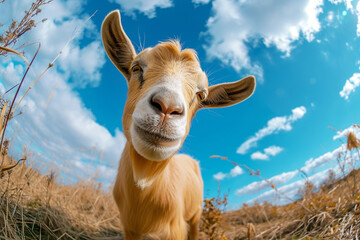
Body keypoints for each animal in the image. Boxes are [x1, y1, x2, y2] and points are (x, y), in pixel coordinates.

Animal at [100, 9, 255, 240]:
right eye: (136, 68)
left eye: (201, 95)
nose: (167, 106)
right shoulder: (129, 228)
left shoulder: (176, 228)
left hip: (196, 214)